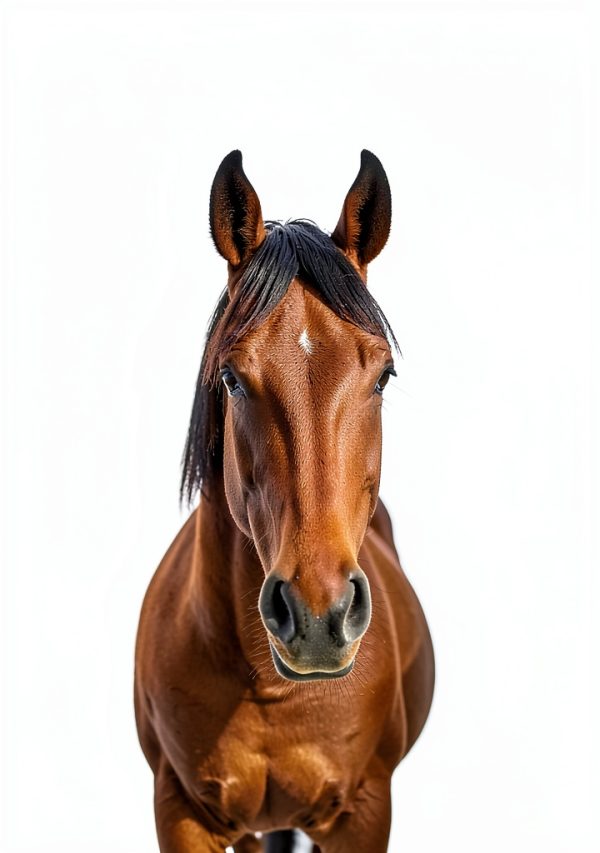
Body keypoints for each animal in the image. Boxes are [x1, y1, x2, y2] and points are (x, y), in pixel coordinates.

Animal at [134, 150, 435, 853]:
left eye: (383, 375)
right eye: (231, 377)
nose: (319, 616)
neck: (267, 688)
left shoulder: (364, 813)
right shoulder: (179, 810)